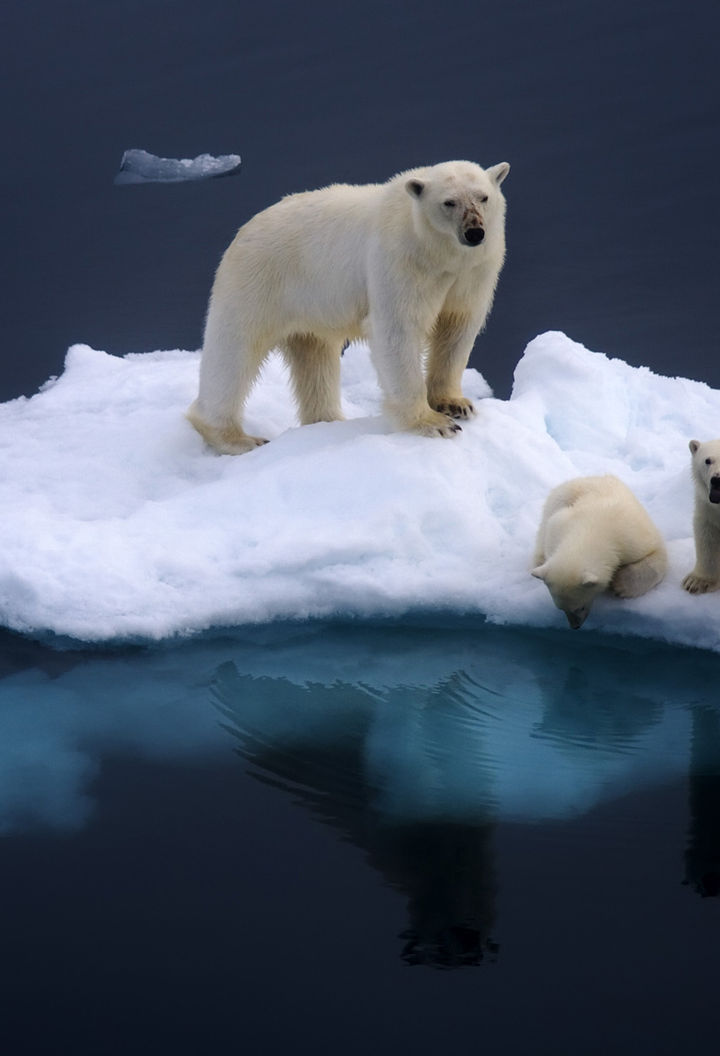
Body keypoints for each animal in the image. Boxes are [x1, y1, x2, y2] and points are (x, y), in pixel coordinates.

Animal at [187, 158, 506, 451]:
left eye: (483, 197)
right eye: (448, 202)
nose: (474, 232)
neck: (440, 254)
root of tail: (244, 229)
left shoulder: (474, 272)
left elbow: (457, 328)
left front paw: (455, 404)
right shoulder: (401, 261)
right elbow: (398, 329)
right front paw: (433, 423)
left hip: (308, 304)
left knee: (315, 359)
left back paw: (327, 420)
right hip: (258, 281)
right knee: (234, 351)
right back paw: (236, 437)